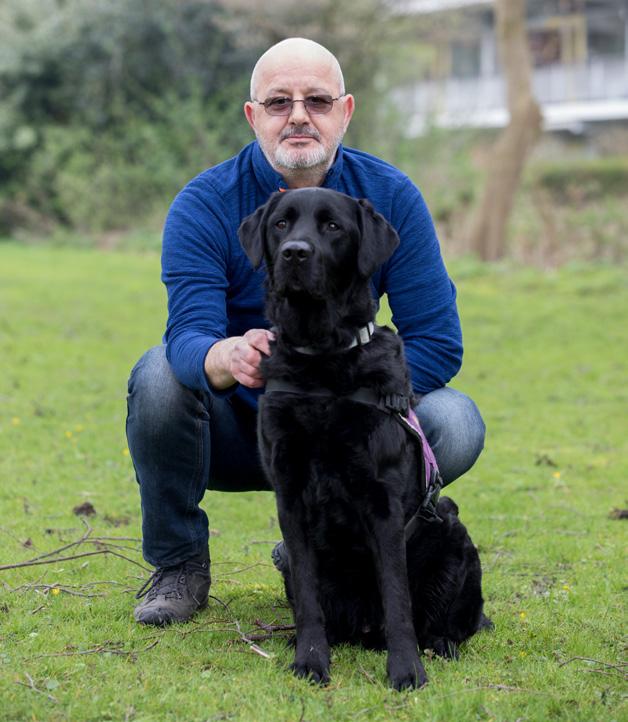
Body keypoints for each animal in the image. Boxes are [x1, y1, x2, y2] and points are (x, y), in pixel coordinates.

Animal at [238, 188, 488, 688]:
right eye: (280, 224)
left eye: (333, 226)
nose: (295, 252)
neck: (322, 358)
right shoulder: (290, 496)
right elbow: (309, 600)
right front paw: (311, 660)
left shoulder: (382, 501)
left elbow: (397, 598)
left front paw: (406, 670)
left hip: (452, 535)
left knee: (450, 622)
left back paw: (441, 644)